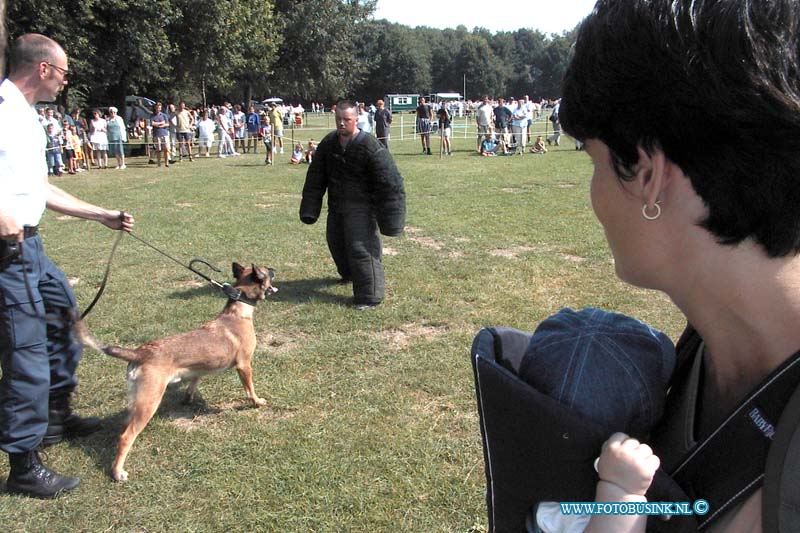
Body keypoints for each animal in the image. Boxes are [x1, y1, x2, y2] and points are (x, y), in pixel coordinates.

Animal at [76, 262, 276, 482]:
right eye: (267, 271)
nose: (274, 269)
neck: (238, 311)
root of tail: (139, 353)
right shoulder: (244, 365)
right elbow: (250, 389)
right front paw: (257, 402)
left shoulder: (197, 369)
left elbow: (194, 381)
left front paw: (188, 398)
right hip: (149, 402)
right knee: (127, 437)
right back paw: (118, 472)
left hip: (136, 401)